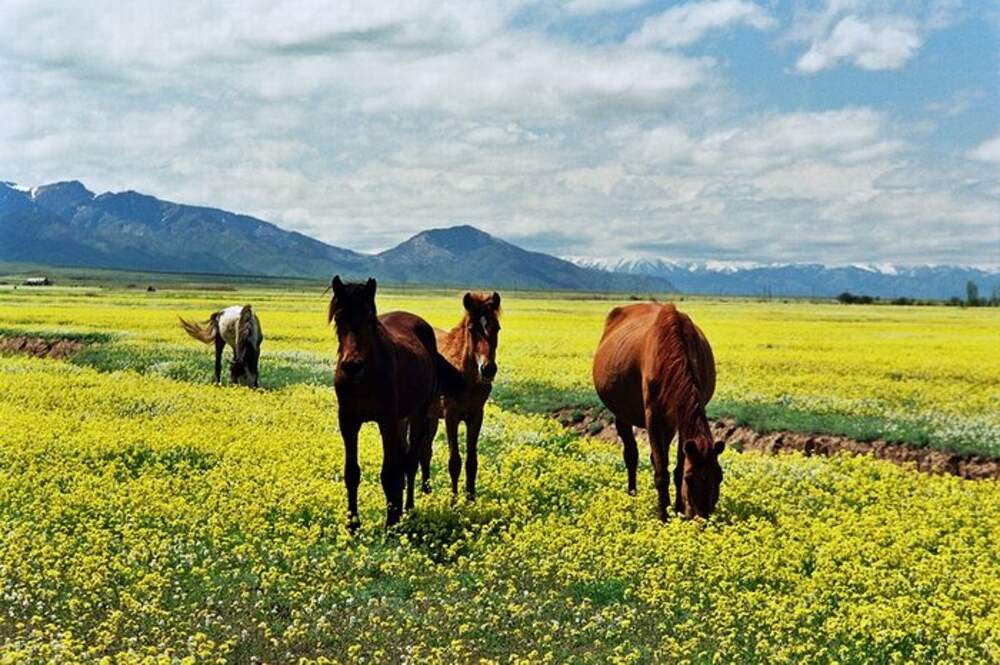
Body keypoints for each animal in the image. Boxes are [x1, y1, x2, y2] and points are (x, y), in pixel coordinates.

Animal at [330, 274, 466, 528]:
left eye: (369, 319)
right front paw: (353, 524)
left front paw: (391, 521)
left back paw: (408, 508)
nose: (352, 366)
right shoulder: (348, 422)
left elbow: (390, 472)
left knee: (411, 461)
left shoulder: (387, 421)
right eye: (339, 317)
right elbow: (352, 472)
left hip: (418, 413)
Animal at [420, 290, 504, 498]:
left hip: (431, 417)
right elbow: (454, 462)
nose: (488, 369)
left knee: (425, 451)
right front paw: (454, 500)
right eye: (472, 329)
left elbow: (471, 462)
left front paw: (471, 499)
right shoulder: (451, 416)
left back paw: (427, 491)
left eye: (497, 328)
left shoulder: (475, 416)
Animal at [588, 300, 724, 520]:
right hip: (623, 415)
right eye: (690, 479)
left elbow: (676, 467)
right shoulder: (653, 416)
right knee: (631, 455)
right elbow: (661, 471)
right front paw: (663, 515)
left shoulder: (679, 419)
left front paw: (677, 509)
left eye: (719, 477)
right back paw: (632, 494)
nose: (702, 518)